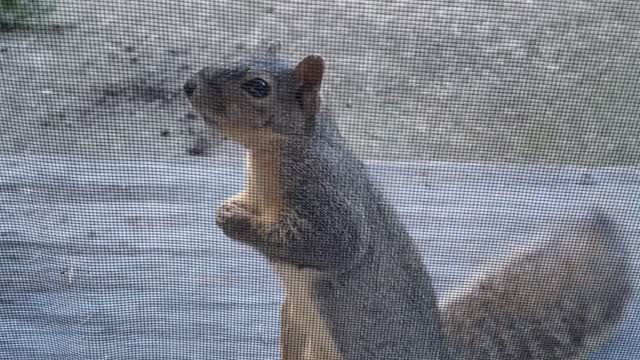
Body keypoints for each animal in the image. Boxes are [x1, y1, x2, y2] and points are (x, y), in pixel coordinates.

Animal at [182, 51, 632, 360]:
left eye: (258, 87)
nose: (188, 85)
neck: (269, 155)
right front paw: (231, 207)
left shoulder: (328, 193)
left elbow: (334, 244)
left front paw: (234, 221)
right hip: (294, 325)